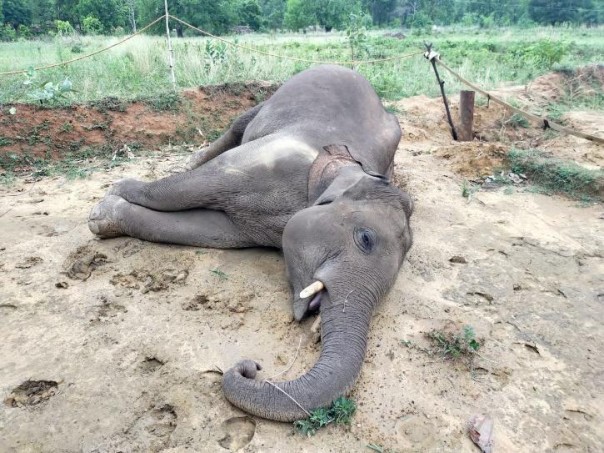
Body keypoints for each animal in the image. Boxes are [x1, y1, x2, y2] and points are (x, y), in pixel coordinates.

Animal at [87, 65, 412, 422]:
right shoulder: (271, 159)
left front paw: (105, 214)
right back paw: (191, 159)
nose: (251, 367)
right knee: (238, 125)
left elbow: (209, 230)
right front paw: (108, 201)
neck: (351, 166)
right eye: (365, 239)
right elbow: (189, 187)